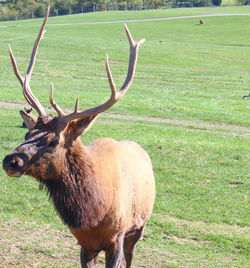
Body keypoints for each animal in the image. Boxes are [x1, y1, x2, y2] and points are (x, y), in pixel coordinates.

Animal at [1, 4, 155, 268]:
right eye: (29, 132)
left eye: (53, 140)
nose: (11, 160)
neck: (92, 214)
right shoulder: (84, 243)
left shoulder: (117, 237)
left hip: (139, 227)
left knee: (131, 257)